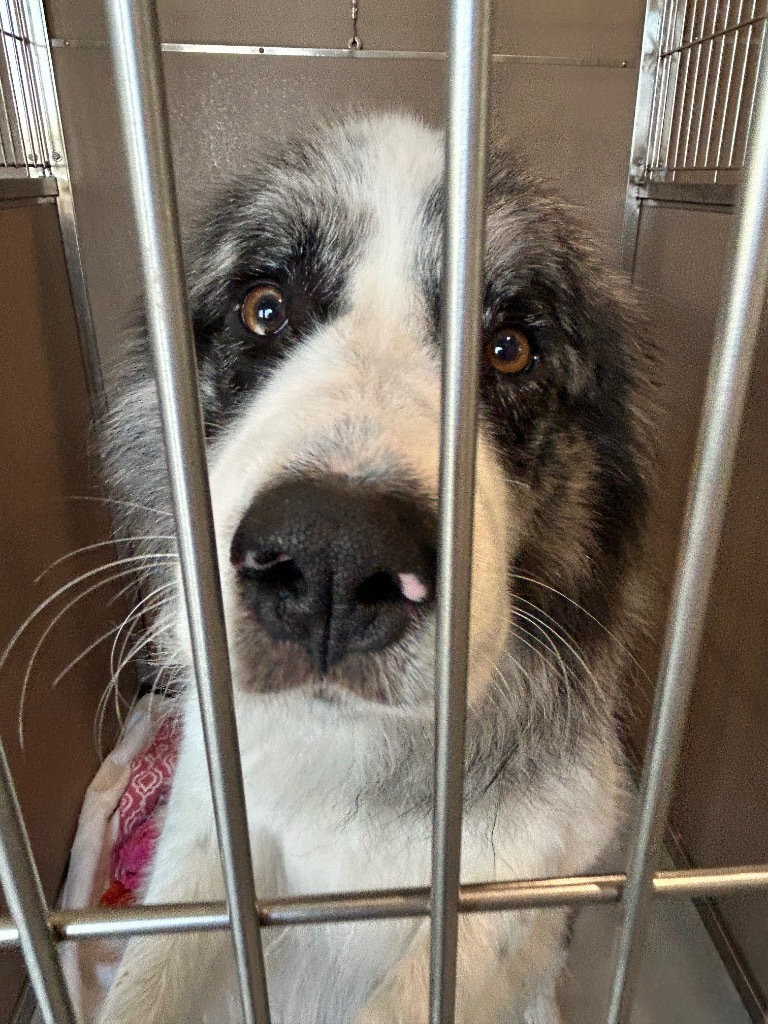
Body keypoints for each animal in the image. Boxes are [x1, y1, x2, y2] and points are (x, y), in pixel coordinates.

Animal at [94, 112, 651, 1024]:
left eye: (509, 348)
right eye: (264, 308)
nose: (332, 556)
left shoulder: (515, 885)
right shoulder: (210, 828)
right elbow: (153, 975)